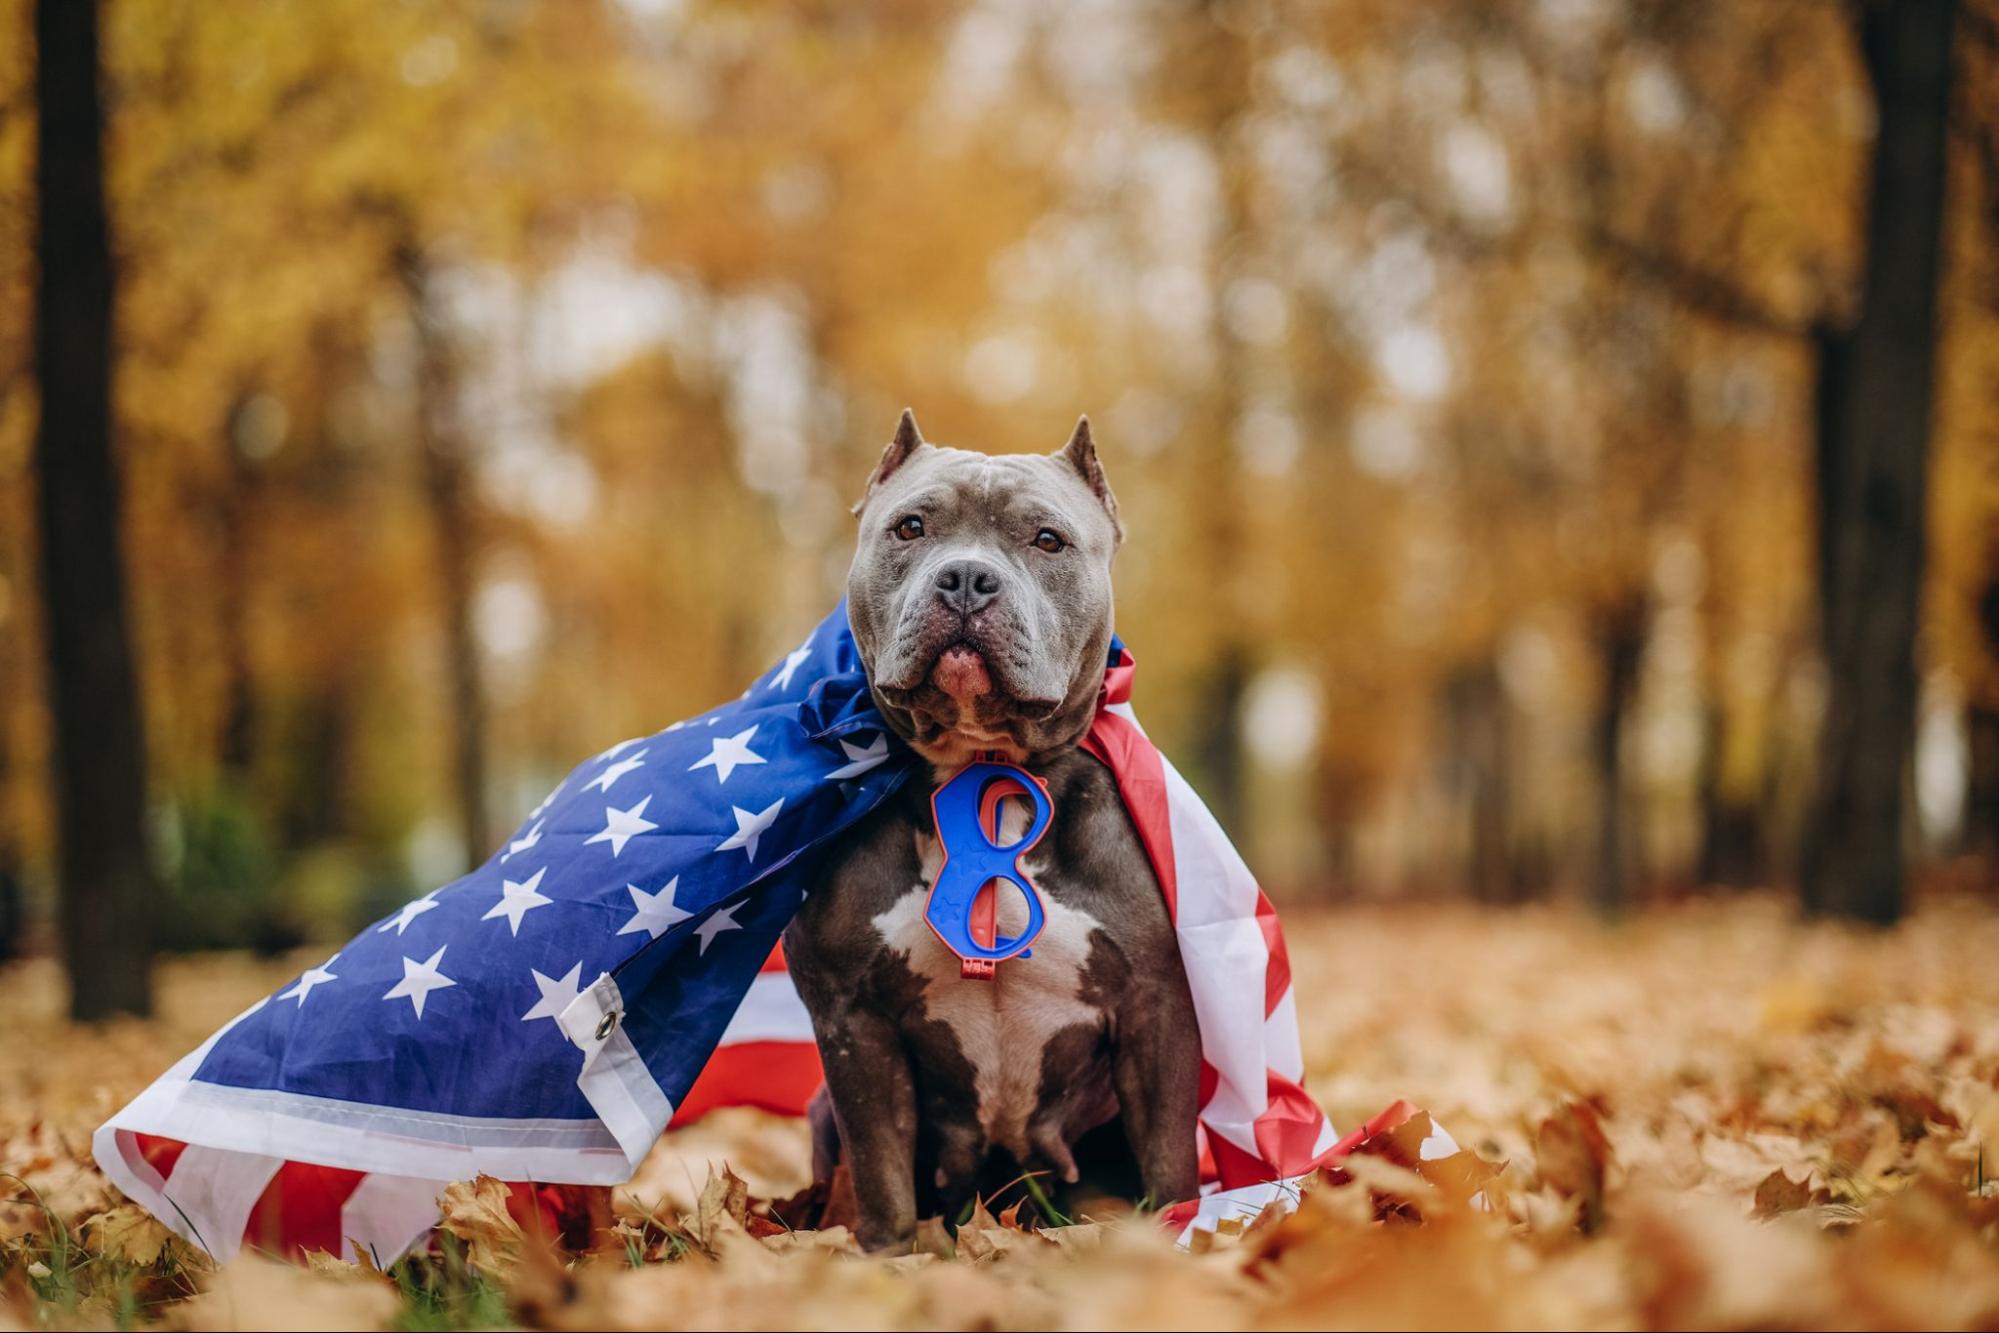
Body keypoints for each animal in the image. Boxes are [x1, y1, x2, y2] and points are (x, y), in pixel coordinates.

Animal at [783, 407, 1199, 1255]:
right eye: (910, 527)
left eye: (1046, 539)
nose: (968, 577)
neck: (986, 768)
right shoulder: (852, 1021)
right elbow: (880, 1177)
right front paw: (883, 1260)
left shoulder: (1157, 1010)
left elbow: (1171, 1162)